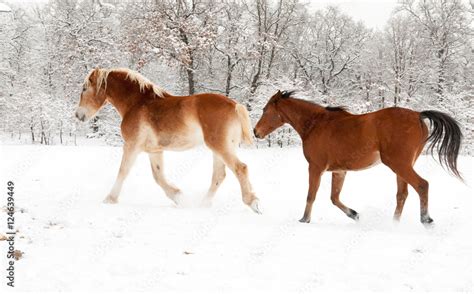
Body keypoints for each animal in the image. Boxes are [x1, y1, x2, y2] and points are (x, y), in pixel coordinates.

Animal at [76, 67, 262, 212]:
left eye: (84, 88)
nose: (78, 115)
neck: (136, 103)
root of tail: (235, 105)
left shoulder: (131, 146)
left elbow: (123, 171)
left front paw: (110, 199)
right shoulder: (154, 151)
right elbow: (158, 176)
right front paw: (179, 197)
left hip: (220, 147)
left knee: (240, 168)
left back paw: (253, 203)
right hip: (218, 149)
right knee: (219, 176)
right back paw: (202, 204)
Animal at [254, 90, 462, 226]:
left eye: (265, 110)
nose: (256, 132)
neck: (315, 124)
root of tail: (419, 115)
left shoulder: (315, 167)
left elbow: (311, 195)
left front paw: (304, 220)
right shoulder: (339, 171)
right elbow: (334, 198)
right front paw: (355, 215)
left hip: (398, 164)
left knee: (421, 185)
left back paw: (426, 220)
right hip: (402, 166)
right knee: (402, 194)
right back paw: (394, 224)